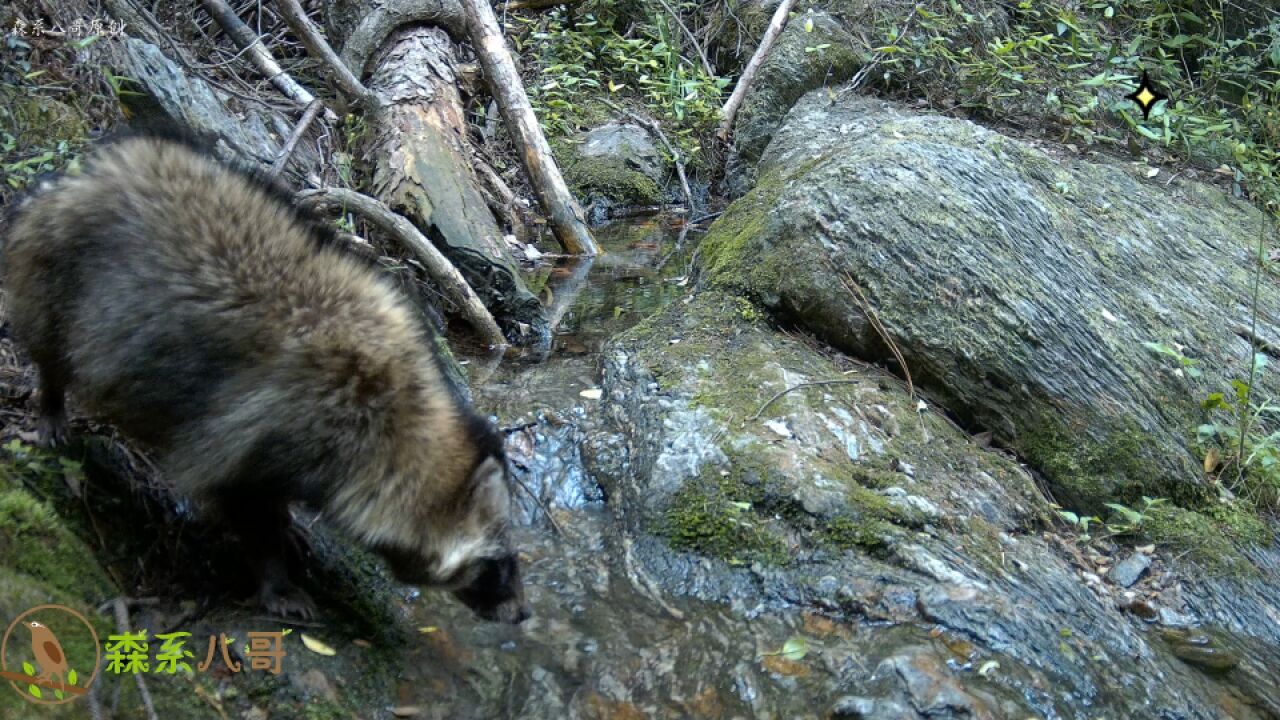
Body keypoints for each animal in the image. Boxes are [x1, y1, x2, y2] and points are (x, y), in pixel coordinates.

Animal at [1, 134, 529, 622]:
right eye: (497, 563)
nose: (524, 614)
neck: (396, 427)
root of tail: (77, 174)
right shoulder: (271, 424)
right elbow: (244, 505)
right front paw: (275, 577)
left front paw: (286, 523)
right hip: (55, 271)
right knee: (52, 346)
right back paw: (51, 400)